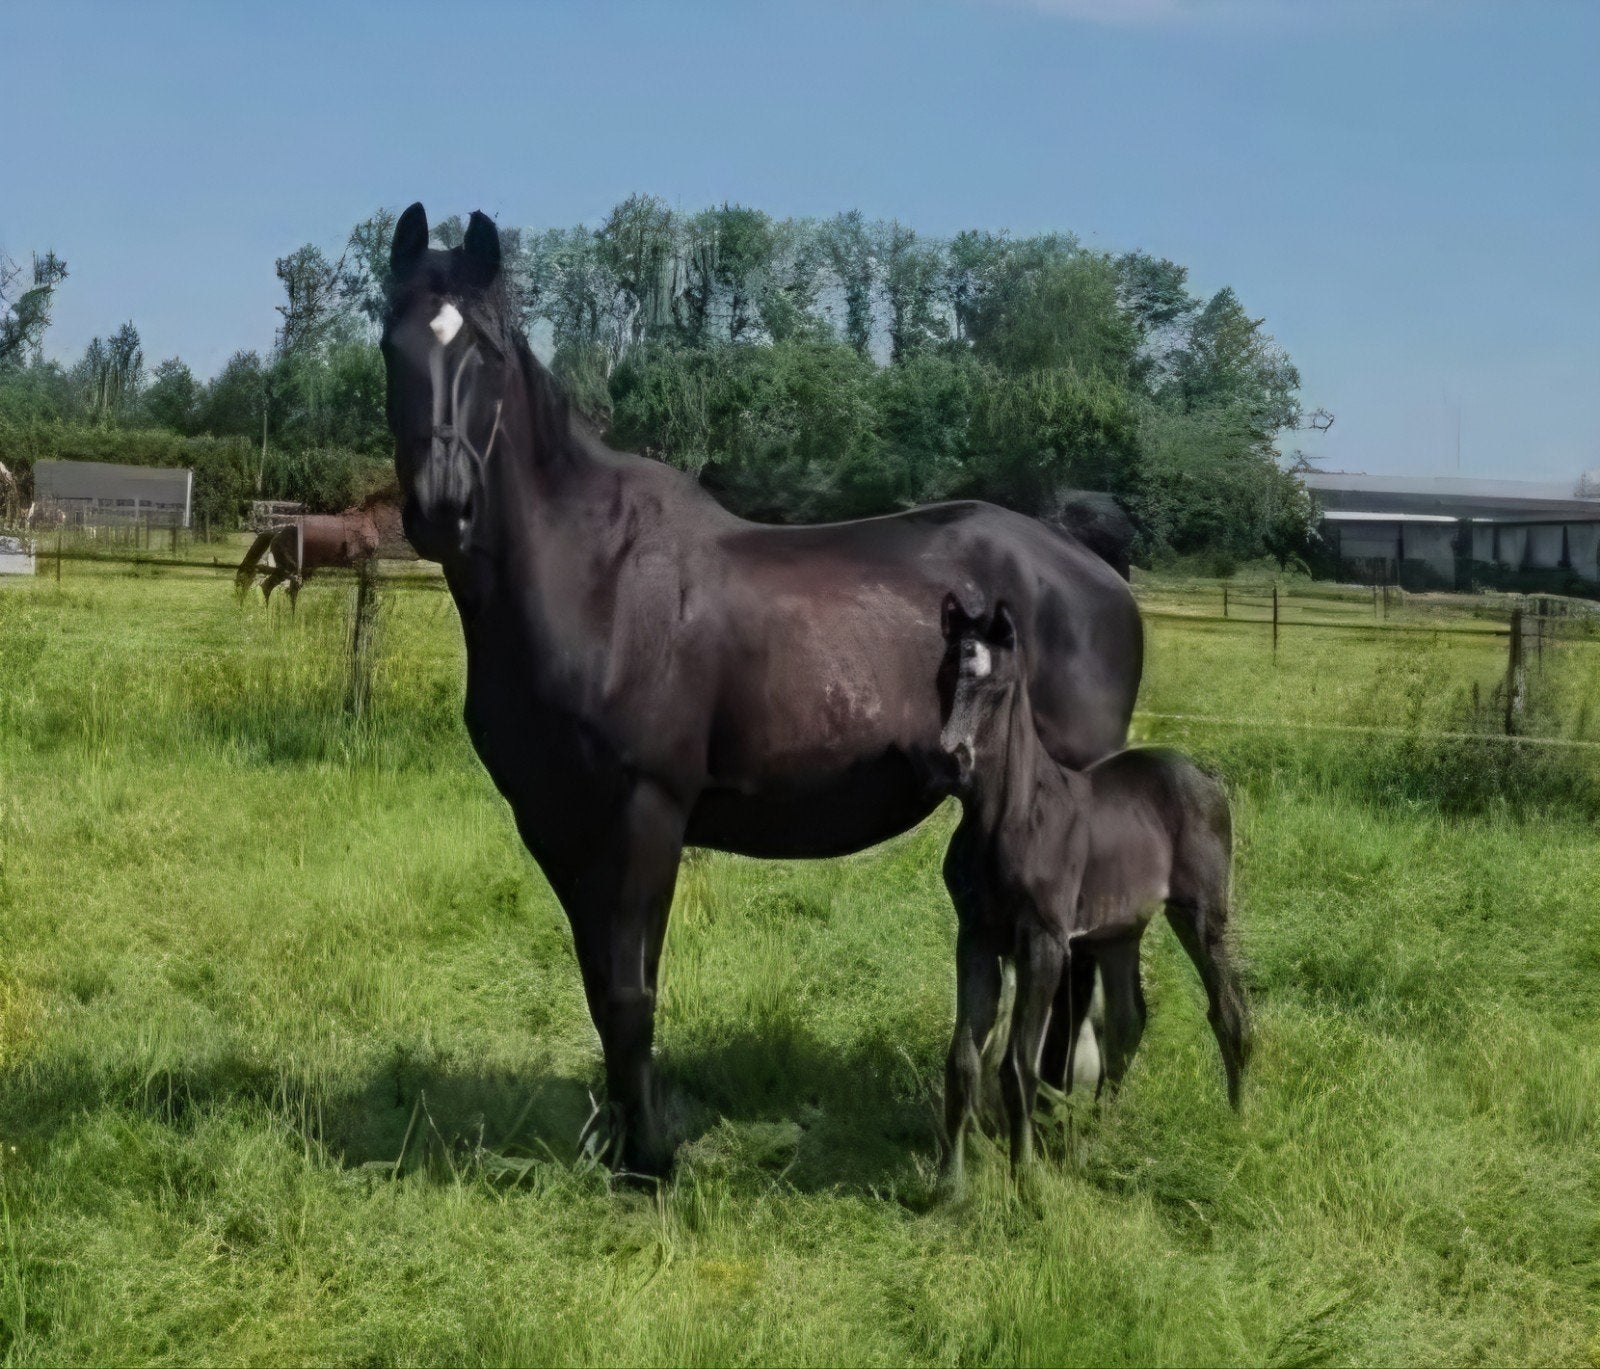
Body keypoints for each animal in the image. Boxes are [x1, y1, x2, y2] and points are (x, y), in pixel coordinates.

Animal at [380, 203, 1145, 1176]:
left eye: (484, 350)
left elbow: (631, 992)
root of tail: (1084, 560)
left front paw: (652, 1158)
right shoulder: (558, 825)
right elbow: (599, 987)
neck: (593, 576)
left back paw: (1051, 1106)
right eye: (393, 343)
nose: (443, 508)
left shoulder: (646, 815)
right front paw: (619, 1143)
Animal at [938, 600, 1250, 1179]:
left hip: (1201, 915)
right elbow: (966, 1059)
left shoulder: (1044, 941)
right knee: (1127, 1023)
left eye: (998, 686)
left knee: (1229, 1013)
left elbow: (1019, 1064)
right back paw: (1095, 1137)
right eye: (946, 673)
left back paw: (1239, 1122)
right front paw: (950, 1183)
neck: (1008, 818)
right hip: (1118, 930)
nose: (955, 758)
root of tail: (1206, 774)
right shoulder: (975, 937)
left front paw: (1025, 1178)